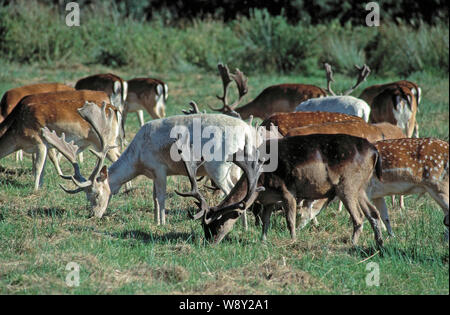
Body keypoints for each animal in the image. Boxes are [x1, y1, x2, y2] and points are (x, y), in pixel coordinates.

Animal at [176, 133, 384, 247]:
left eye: (218, 225)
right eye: (203, 227)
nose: (209, 243)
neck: (260, 181)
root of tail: (374, 151)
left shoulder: (288, 192)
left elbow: (290, 221)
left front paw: (293, 241)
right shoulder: (269, 200)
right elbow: (265, 222)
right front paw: (263, 241)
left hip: (347, 185)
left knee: (359, 217)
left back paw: (353, 243)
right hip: (361, 187)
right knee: (373, 213)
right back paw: (379, 242)